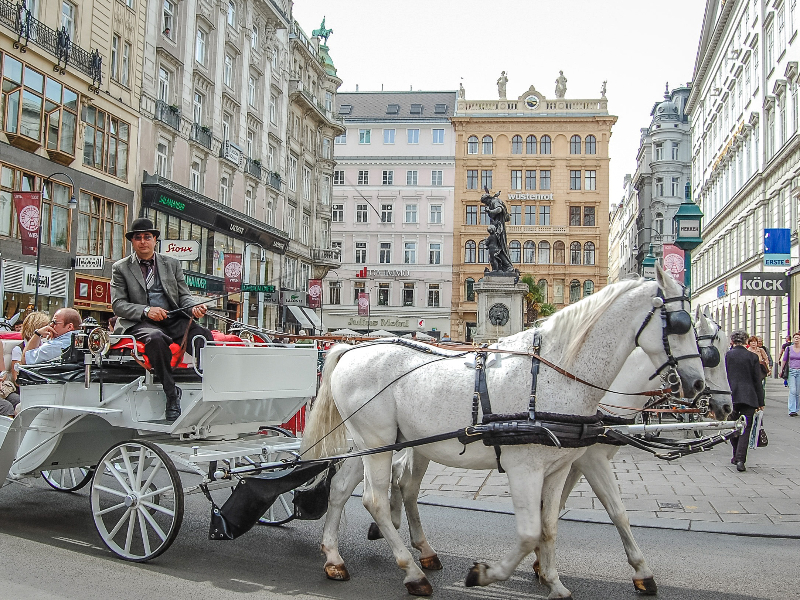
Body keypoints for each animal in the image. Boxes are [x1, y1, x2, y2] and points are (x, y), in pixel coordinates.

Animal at [304, 270, 704, 596]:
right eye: (681, 323)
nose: (697, 384)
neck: (556, 373)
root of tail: (351, 350)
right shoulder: (525, 468)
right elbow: (529, 533)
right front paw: (484, 574)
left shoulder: (558, 468)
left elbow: (549, 524)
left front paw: (554, 581)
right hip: (379, 444)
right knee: (374, 500)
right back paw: (413, 573)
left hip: (371, 444)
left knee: (342, 489)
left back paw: (334, 558)